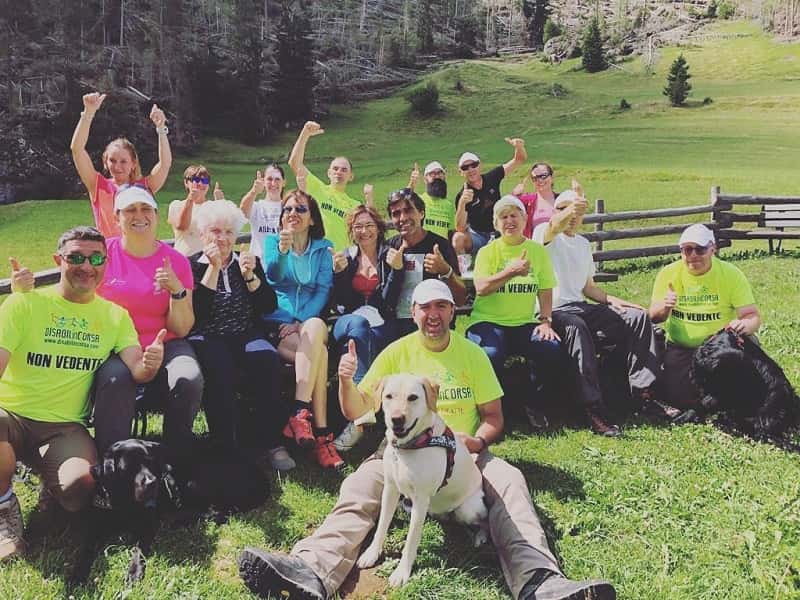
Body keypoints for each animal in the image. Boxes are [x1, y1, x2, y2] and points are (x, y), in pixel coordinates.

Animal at [69, 436, 268, 584]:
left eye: (149, 462)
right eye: (129, 468)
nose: (152, 482)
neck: (125, 503)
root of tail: (260, 474)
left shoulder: (147, 524)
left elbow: (139, 549)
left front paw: (134, 571)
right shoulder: (96, 525)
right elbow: (86, 548)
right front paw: (78, 572)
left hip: (195, 481)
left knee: (217, 512)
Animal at [356, 376, 488, 584]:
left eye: (413, 397)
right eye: (389, 396)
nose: (397, 419)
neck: (409, 447)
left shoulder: (421, 499)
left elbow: (411, 540)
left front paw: (401, 572)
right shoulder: (391, 490)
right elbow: (382, 525)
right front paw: (372, 553)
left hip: (467, 509)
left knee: (483, 521)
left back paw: (480, 536)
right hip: (411, 505)